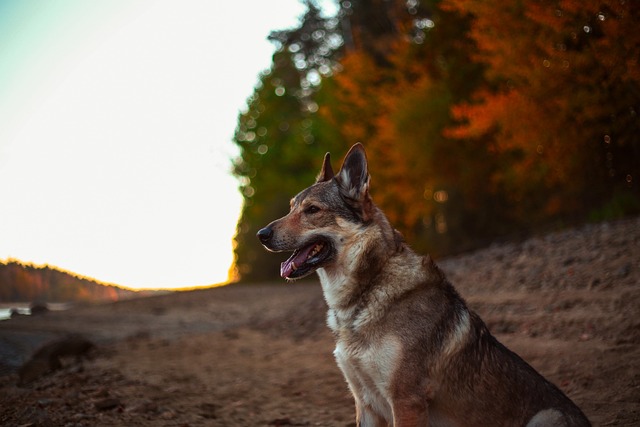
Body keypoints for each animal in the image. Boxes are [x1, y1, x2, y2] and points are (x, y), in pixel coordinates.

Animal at [256, 144, 592, 427]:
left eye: (312, 210)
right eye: (291, 207)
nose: (261, 234)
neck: (368, 290)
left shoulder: (406, 401)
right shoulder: (365, 404)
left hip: (548, 417)